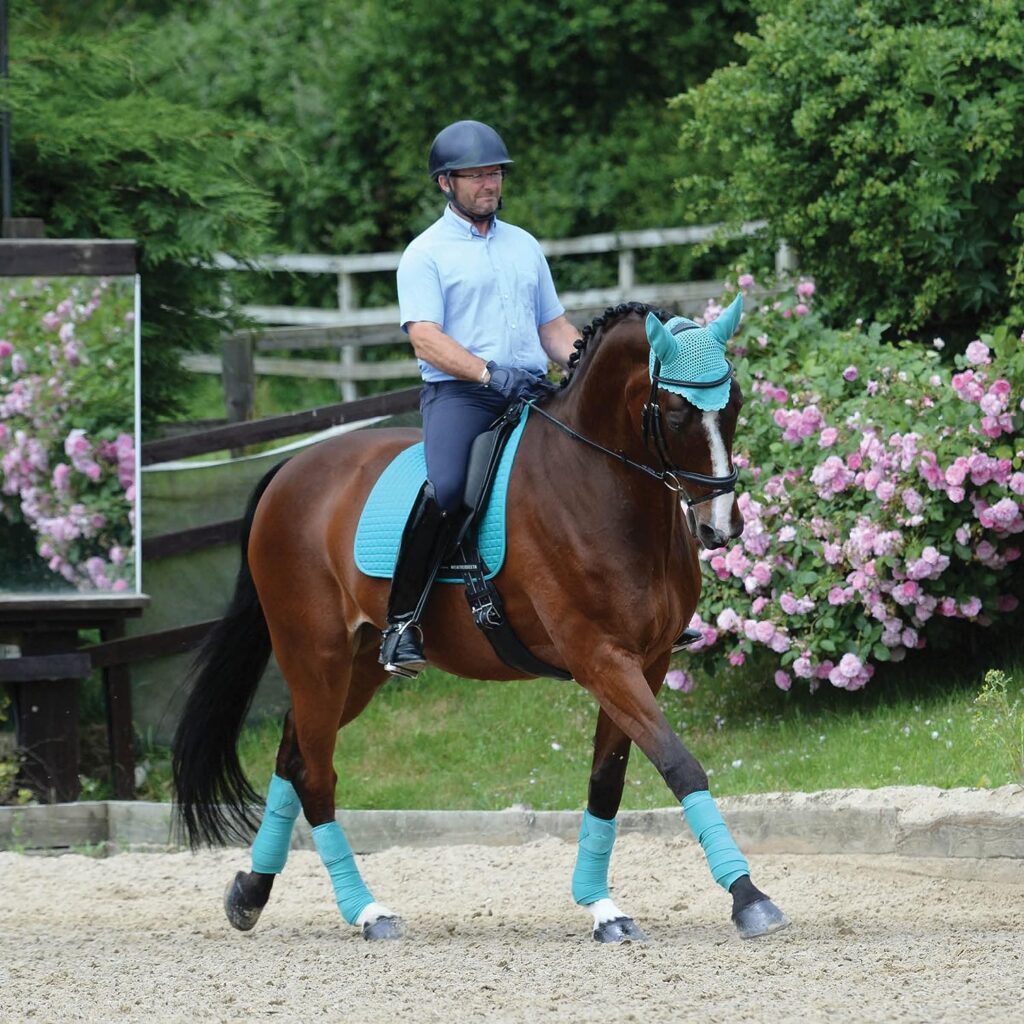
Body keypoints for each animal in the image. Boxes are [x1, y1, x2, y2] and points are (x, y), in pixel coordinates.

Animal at [174, 294, 790, 942]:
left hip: (356, 669)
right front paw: (748, 898)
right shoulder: (600, 658)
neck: (600, 486)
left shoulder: (644, 663)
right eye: (673, 414)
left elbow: (608, 781)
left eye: (736, 403)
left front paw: (602, 907)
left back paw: (250, 893)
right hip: (314, 655)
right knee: (315, 774)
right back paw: (367, 912)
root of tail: (289, 471)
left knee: (293, 756)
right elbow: (679, 764)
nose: (721, 527)